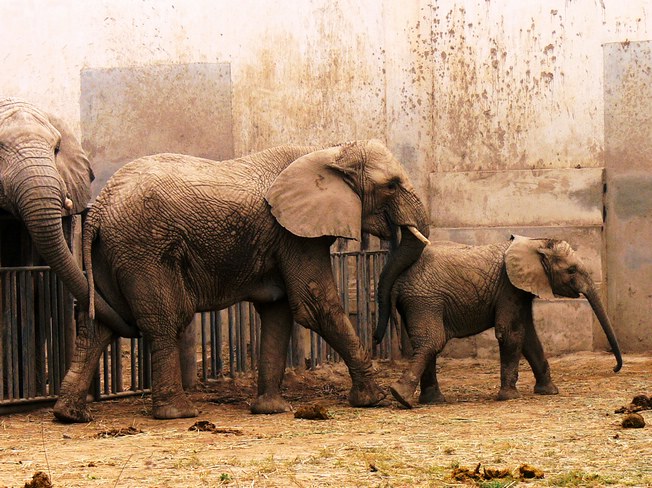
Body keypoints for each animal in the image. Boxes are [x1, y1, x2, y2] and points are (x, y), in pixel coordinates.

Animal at [52, 139, 431, 422]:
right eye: (391, 186)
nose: (380, 336)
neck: (328, 150)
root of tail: (99, 206)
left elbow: (279, 310)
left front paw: (272, 410)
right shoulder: (293, 234)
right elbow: (315, 306)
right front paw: (375, 398)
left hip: (109, 252)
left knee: (100, 324)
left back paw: (70, 415)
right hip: (142, 248)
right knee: (162, 322)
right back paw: (178, 413)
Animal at [373, 235, 623, 409]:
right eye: (571, 270)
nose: (615, 368)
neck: (536, 242)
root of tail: (398, 281)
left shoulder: (520, 289)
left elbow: (529, 337)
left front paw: (550, 392)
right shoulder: (508, 287)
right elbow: (510, 333)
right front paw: (510, 397)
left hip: (418, 302)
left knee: (427, 345)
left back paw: (432, 400)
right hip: (424, 299)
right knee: (432, 342)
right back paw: (400, 397)